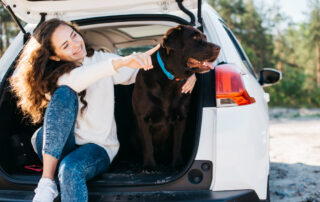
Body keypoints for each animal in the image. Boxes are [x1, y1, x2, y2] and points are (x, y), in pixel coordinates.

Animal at [131, 24, 219, 169]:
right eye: (194, 38)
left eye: (205, 37)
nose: (218, 48)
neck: (170, 79)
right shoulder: (143, 118)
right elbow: (148, 145)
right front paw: (149, 166)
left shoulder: (180, 118)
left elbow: (177, 144)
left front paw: (178, 164)